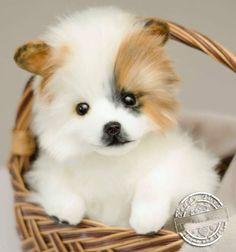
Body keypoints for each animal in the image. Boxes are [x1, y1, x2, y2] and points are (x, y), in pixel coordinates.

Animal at [14, 6, 219, 234]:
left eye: (129, 99)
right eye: (82, 109)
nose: (112, 127)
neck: (113, 161)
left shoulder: (184, 163)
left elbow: (154, 183)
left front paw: (146, 218)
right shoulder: (48, 167)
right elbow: (56, 183)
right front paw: (65, 213)